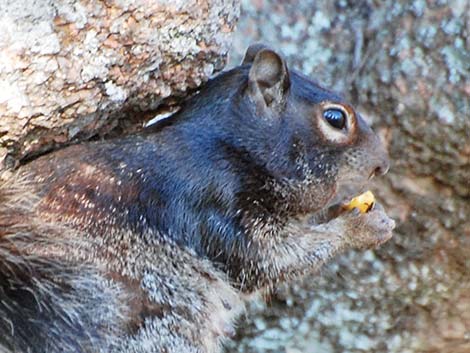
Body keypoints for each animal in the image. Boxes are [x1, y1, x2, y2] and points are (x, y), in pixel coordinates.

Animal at [0, 44, 392, 352]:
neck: (230, 149)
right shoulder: (218, 207)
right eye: (335, 118)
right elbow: (274, 259)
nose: (384, 164)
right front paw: (360, 225)